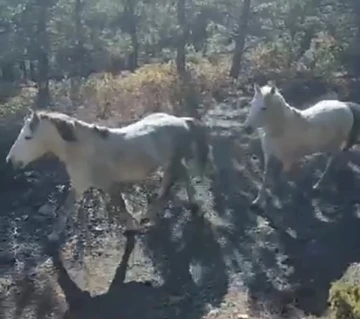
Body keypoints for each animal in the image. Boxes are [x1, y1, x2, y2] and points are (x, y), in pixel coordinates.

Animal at [5, 110, 210, 242]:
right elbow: (64, 209)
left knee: (173, 182)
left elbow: (121, 206)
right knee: (179, 178)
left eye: (28, 137)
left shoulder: (107, 185)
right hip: (171, 163)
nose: (10, 161)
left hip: (173, 162)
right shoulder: (79, 185)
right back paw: (187, 204)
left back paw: (152, 214)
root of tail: (181, 120)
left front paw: (132, 227)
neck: (82, 150)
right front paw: (53, 235)